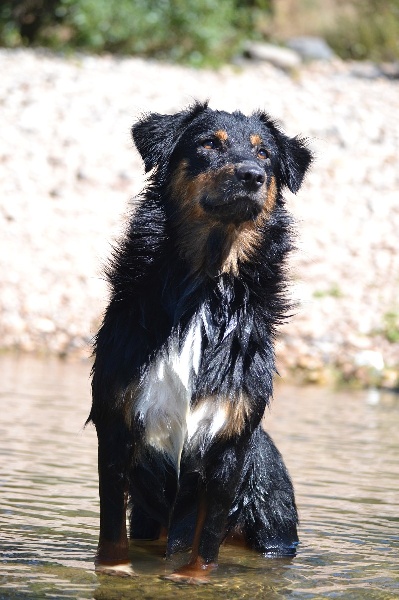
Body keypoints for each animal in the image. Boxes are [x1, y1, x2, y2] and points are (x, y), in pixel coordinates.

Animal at [89, 101, 314, 584]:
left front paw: (192, 577)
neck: (205, 284)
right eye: (210, 143)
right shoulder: (115, 420)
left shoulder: (229, 437)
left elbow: (207, 533)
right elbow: (113, 521)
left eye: (265, 154)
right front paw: (114, 570)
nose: (252, 175)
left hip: (274, 526)